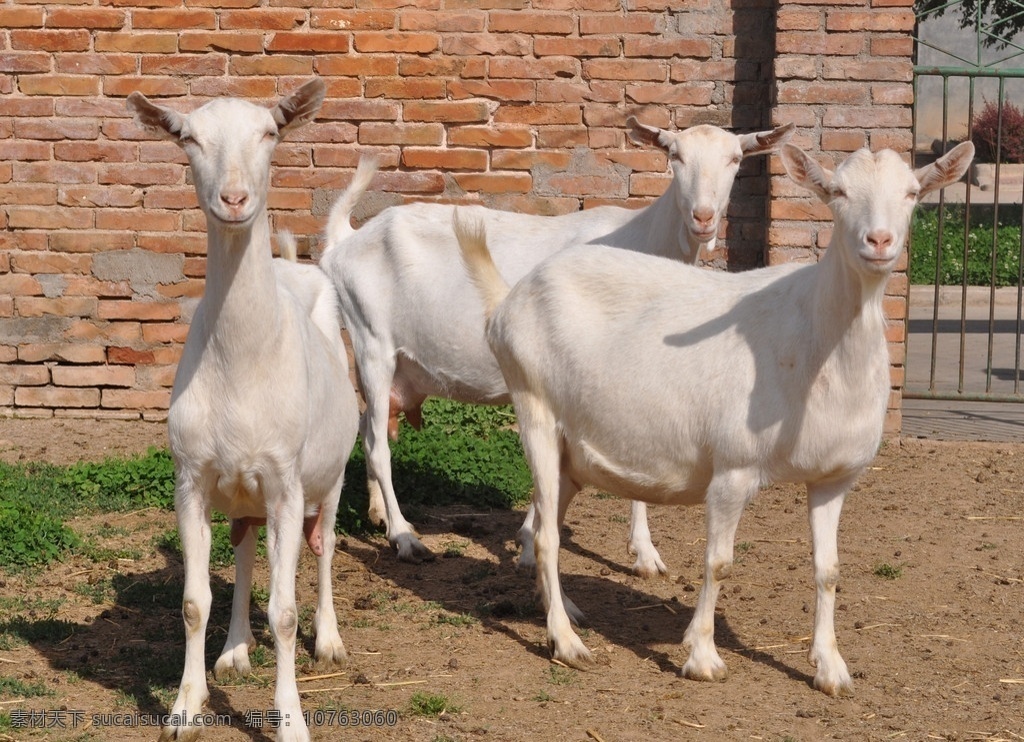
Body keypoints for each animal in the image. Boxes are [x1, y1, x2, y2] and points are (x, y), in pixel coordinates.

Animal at [128, 78, 360, 736]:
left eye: (271, 132)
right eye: (188, 138)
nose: (234, 199)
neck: (241, 366)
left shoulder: (285, 481)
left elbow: (283, 610)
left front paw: (292, 721)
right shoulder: (191, 478)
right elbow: (192, 601)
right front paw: (185, 706)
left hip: (332, 471)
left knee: (324, 545)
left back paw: (329, 639)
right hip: (244, 490)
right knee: (247, 548)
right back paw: (234, 649)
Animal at [317, 120, 790, 573]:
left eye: (736, 159)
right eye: (674, 155)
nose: (703, 217)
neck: (642, 239)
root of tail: (346, 241)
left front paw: (533, 539)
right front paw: (642, 553)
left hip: (392, 363)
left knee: (370, 427)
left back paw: (379, 514)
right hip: (371, 341)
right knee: (377, 446)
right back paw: (404, 537)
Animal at [458, 143, 974, 695]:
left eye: (913, 192)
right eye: (836, 191)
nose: (878, 241)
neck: (817, 341)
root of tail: (506, 303)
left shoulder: (834, 478)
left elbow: (829, 569)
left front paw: (831, 668)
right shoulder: (733, 468)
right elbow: (718, 562)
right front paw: (702, 656)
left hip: (571, 451)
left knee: (545, 523)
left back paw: (567, 611)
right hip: (533, 405)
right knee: (547, 535)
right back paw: (566, 642)